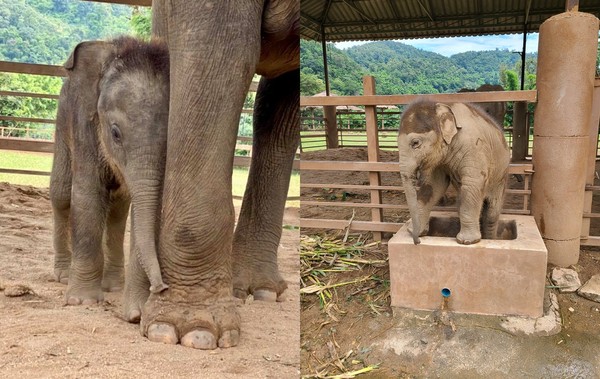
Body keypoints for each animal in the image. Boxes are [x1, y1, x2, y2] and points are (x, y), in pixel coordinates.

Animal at [49, 36, 169, 314]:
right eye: (115, 133)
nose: (161, 287)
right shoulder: (83, 124)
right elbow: (88, 196)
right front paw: (82, 301)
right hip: (61, 121)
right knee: (61, 194)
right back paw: (62, 275)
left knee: (117, 209)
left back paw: (113, 285)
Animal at [398, 99, 510, 245]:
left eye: (415, 143)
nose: (417, 242)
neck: (444, 106)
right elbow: (434, 185)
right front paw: (415, 231)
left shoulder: (474, 147)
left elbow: (472, 183)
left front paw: (467, 241)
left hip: (501, 178)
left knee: (491, 214)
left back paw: (488, 239)